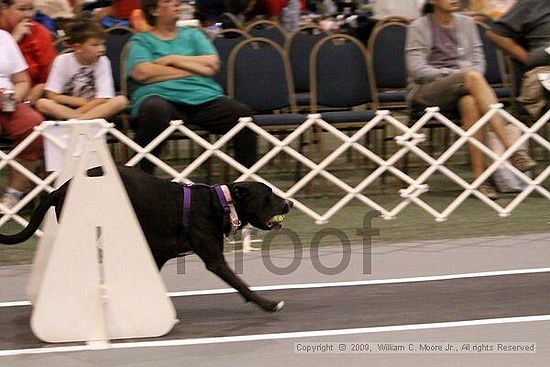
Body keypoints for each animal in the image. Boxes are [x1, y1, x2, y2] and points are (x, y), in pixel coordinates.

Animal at [0, 167, 296, 314]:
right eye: (268, 195)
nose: (290, 203)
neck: (221, 204)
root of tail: (60, 189)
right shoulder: (213, 258)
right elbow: (241, 283)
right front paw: (269, 304)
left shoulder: (159, 254)